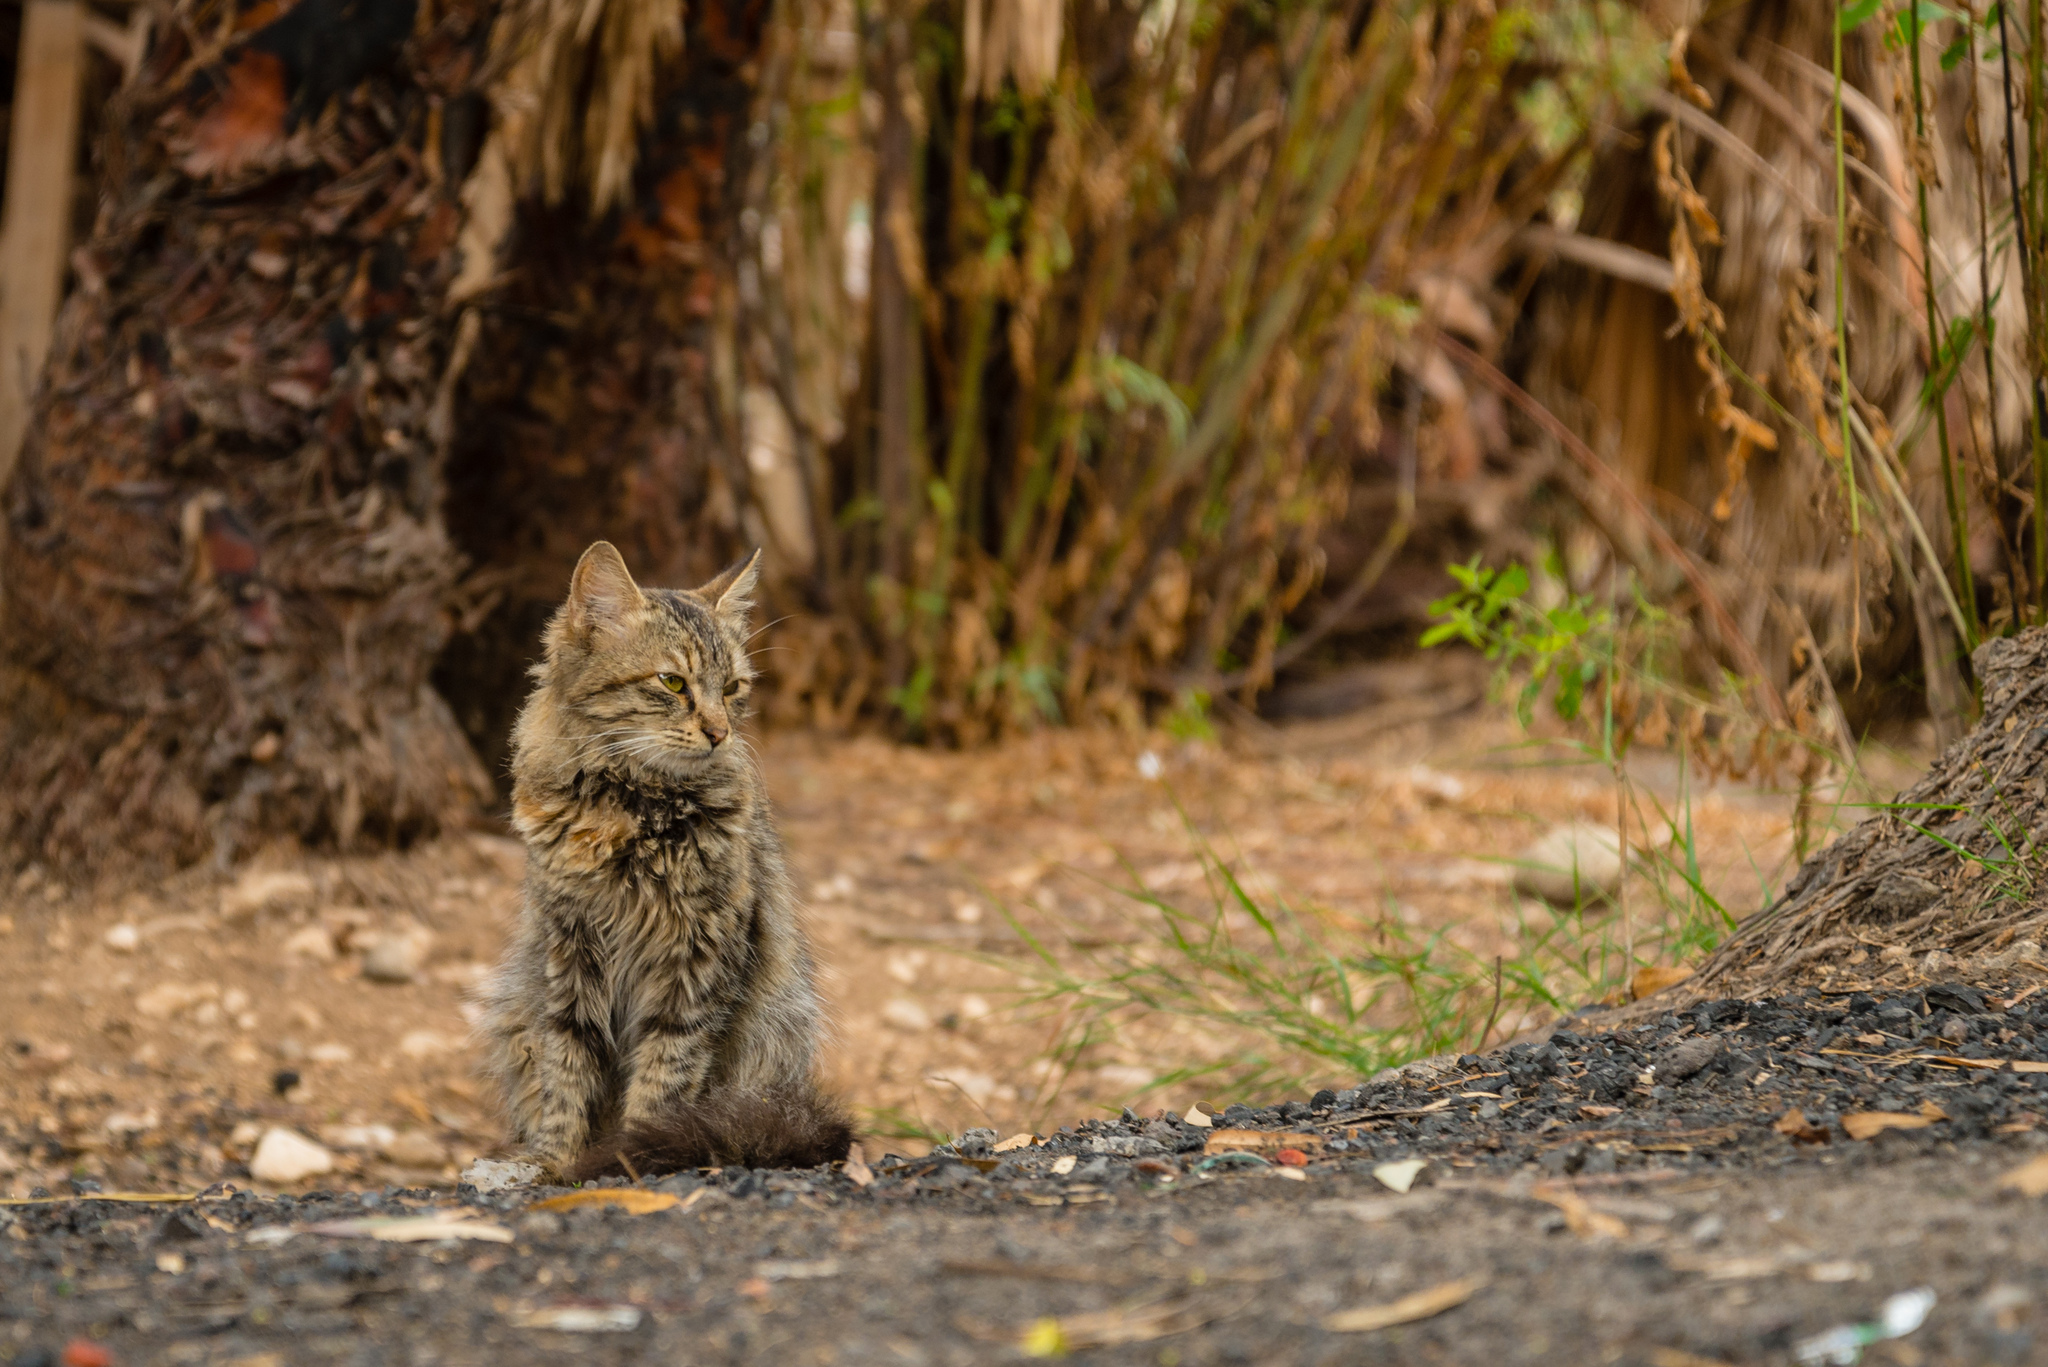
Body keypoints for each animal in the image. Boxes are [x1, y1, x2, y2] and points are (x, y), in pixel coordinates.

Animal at [477, 541, 847, 1180]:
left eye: (732, 688)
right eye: (672, 682)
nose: (720, 732)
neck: (627, 811)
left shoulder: (699, 958)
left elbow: (664, 1074)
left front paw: (634, 1152)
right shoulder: (568, 949)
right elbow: (567, 1069)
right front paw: (556, 1160)